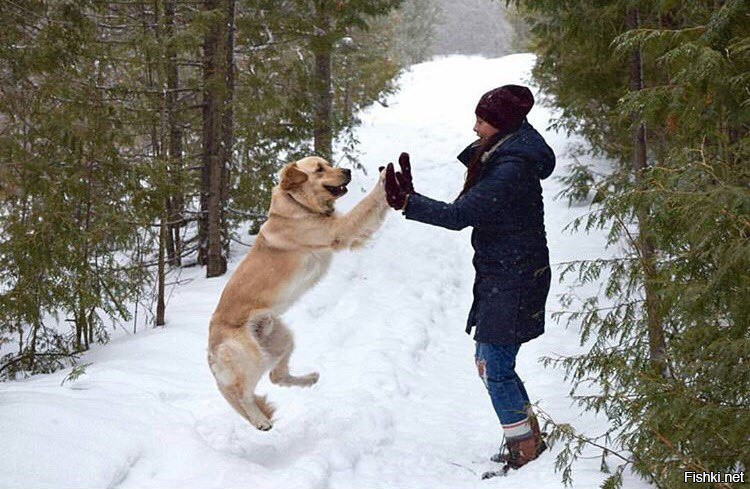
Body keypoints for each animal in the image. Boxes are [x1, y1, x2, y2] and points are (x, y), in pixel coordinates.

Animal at [210, 155, 390, 428]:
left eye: (328, 164)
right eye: (319, 169)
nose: (347, 170)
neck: (300, 206)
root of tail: (209, 348)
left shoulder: (352, 235)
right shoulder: (340, 231)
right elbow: (367, 203)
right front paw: (385, 178)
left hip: (280, 340)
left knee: (276, 377)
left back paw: (309, 379)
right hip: (251, 356)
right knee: (244, 394)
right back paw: (260, 420)